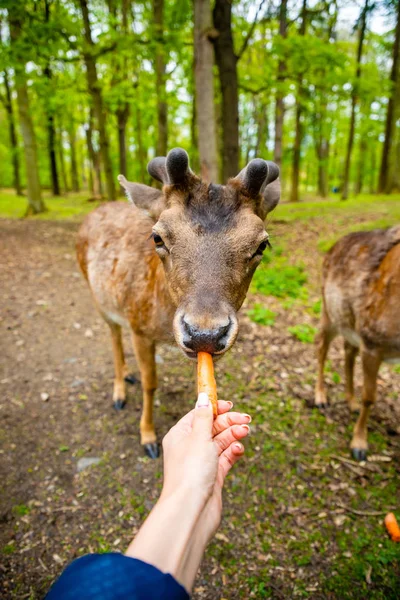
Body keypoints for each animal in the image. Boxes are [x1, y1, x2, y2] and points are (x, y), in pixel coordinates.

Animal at [76, 150, 280, 460]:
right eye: (157, 237)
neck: (162, 323)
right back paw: (120, 392)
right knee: (113, 334)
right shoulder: (138, 327)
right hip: (95, 293)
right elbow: (150, 383)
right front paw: (148, 437)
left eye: (262, 245)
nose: (204, 333)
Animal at [316, 225, 400, 460]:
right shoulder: (372, 342)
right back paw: (321, 397)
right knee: (321, 347)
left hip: (350, 324)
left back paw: (351, 401)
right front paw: (359, 445)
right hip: (328, 311)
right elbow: (369, 396)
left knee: (348, 350)